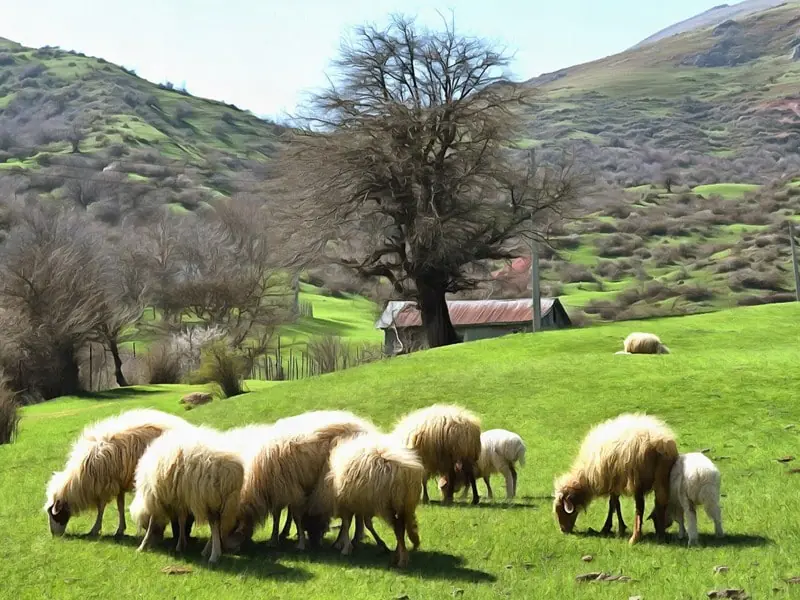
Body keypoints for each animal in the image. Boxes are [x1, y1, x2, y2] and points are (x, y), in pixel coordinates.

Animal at [45, 410, 191, 536]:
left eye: (54, 515)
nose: (54, 535)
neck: (81, 476)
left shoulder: (105, 485)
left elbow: (101, 507)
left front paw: (95, 529)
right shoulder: (118, 483)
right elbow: (120, 506)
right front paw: (120, 529)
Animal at [130, 424, 244, 564]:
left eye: (144, 526)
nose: (158, 541)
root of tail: (234, 473)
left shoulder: (157, 497)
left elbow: (153, 521)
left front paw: (142, 546)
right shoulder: (179, 498)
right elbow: (181, 520)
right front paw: (181, 544)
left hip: (209, 498)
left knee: (214, 525)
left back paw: (213, 555)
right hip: (222, 502)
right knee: (218, 525)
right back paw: (207, 551)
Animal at [552, 412, 680, 544]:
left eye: (560, 509)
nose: (563, 530)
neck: (585, 477)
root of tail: (659, 443)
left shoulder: (612, 481)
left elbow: (613, 504)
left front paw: (609, 528)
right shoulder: (615, 482)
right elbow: (614, 504)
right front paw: (618, 528)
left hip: (638, 478)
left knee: (640, 507)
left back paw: (635, 537)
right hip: (662, 476)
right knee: (661, 502)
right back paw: (660, 533)